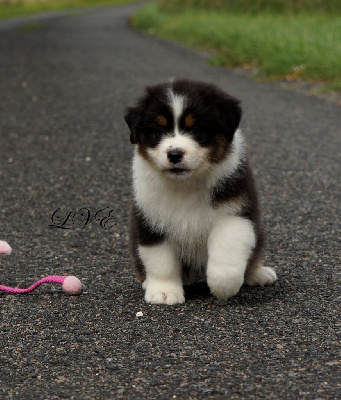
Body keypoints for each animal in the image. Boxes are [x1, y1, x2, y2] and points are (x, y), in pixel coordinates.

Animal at [125, 78, 276, 304]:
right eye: (159, 131)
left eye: (195, 130)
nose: (175, 154)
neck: (186, 184)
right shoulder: (150, 218)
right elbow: (160, 260)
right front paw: (164, 291)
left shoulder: (235, 210)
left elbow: (227, 248)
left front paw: (223, 286)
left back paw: (258, 273)